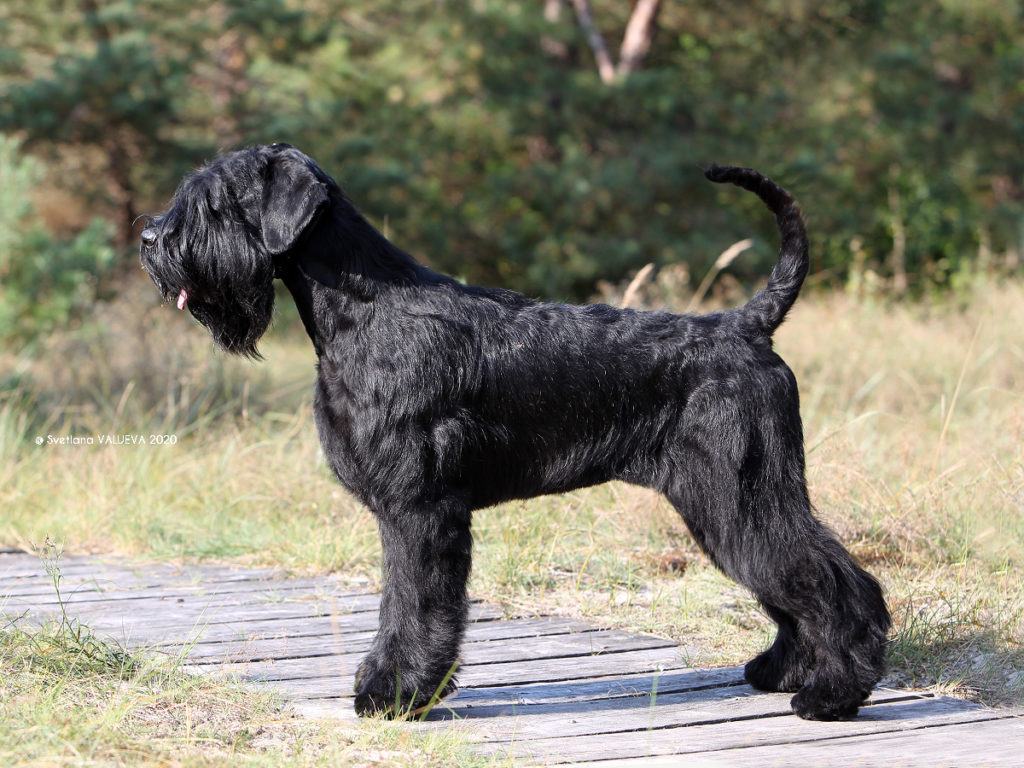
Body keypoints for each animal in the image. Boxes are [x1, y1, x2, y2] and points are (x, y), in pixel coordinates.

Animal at [142, 143, 888, 720]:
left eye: (215, 202)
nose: (149, 239)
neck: (364, 309)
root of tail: (747, 326)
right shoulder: (407, 512)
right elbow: (400, 603)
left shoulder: (419, 509)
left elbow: (414, 603)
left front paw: (396, 695)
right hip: (728, 504)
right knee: (797, 581)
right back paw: (783, 670)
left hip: (742, 496)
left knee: (833, 581)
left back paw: (833, 694)